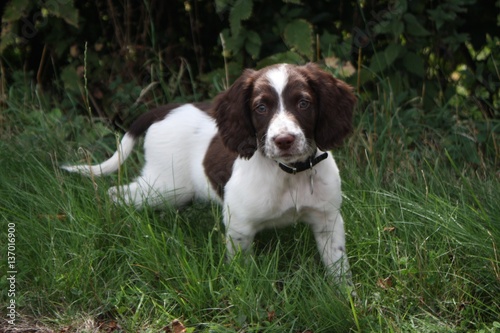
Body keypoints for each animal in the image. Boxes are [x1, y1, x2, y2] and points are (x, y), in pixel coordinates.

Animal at [62, 61, 358, 280]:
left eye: (303, 103)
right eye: (261, 107)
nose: (283, 140)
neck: (289, 174)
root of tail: (166, 110)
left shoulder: (328, 220)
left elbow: (339, 268)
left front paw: (345, 299)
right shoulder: (239, 224)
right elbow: (243, 270)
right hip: (166, 186)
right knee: (116, 192)